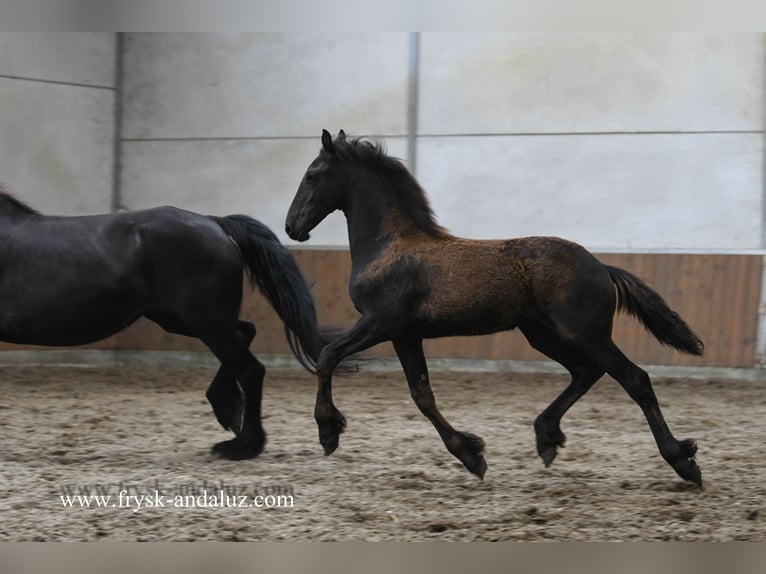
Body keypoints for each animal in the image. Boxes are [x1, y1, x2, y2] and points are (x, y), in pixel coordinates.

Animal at [0, 188, 333, 460]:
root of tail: (215, 223)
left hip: (205, 322)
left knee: (251, 369)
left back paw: (243, 446)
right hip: (185, 320)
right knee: (246, 332)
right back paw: (227, 408)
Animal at [285, 129, 705, 486]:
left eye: (312, 175)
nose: (291, 227)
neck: (389, 245)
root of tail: (602, 266)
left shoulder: (380, 323)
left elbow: (328, 355)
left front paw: (328, 432)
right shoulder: (406, 335)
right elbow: (422, 394)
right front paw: (471, 455)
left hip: (582, 333)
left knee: (634, 378)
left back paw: (682, 461)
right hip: (542, 334)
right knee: (586, 372)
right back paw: (547, 436)